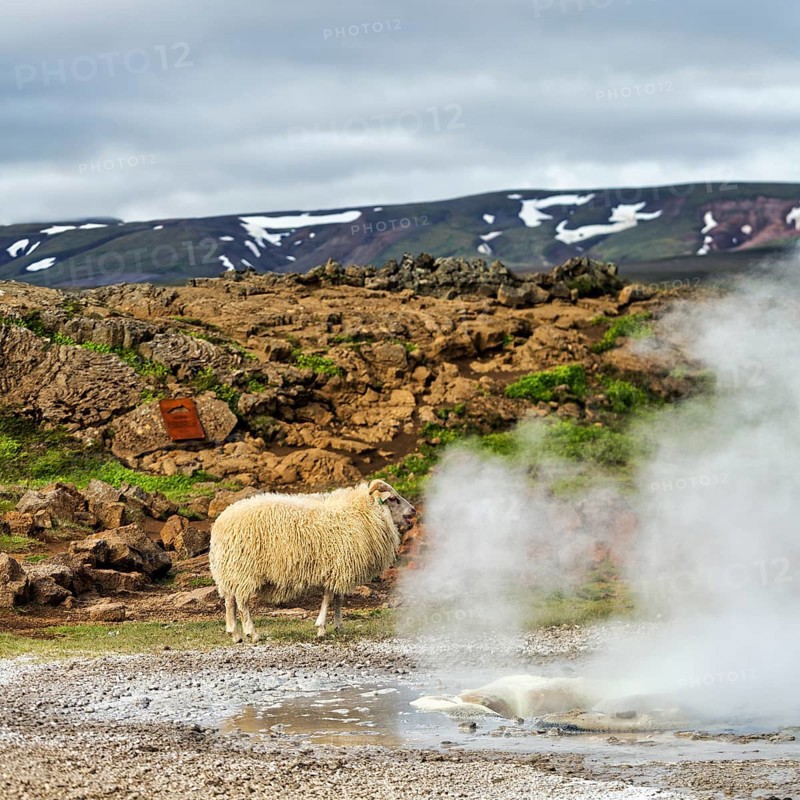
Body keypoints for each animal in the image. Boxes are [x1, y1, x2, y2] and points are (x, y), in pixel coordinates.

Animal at [209, 478, 416, 642]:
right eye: (392, 499)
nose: (413, 510)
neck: (361, 512)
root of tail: (221, 523)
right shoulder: (337, 566)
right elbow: (329, 598)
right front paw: (321, 628)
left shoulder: (339, 569)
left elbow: (338, 598)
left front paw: (339, 626)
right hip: (243, 569)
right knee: (242, 603)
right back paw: (252, 633)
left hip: (230, 571)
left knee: (230, 601)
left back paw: (235, 634)